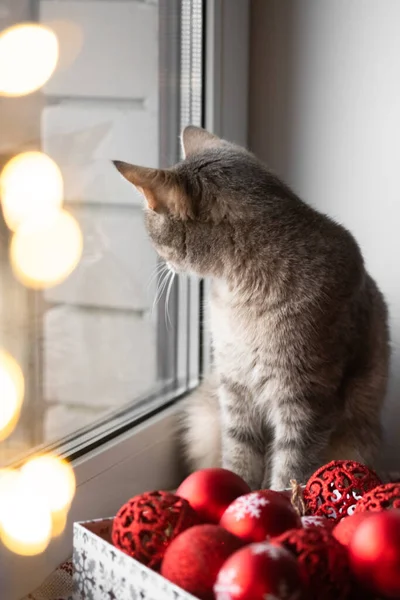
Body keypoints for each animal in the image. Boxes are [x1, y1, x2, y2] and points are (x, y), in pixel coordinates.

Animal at [114, 124, 390, 490]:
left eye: (154, 239)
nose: (163, 265)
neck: (237, 296)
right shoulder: (235, 387)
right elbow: (239, 456)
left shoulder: (305, 400)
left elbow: (290, 470)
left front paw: (282, 500)